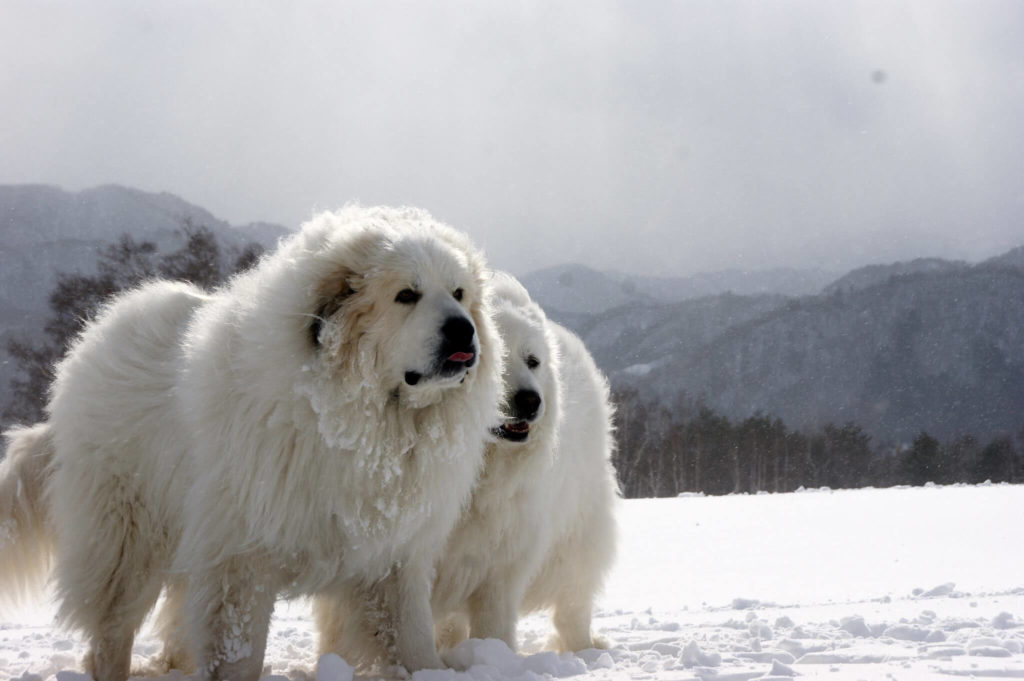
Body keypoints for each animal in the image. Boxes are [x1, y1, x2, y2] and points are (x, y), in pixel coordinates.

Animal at [0, 204, 503, 679]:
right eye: (406, 296)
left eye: (459, 294)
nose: (463, 328)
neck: (363, 421)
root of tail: (91, 340)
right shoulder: (241, 559)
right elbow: (240, 651)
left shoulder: (394, 556)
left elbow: (412, 638)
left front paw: (431, 672)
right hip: (128, 539)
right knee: (112, 630)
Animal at [315, 270, 614, 659]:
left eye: (532, 360)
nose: (530, 400)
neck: (477, 470)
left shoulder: (498, 562)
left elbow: (493, 622)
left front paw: (494, 656)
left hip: (576, 534)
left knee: (573, 603)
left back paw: (583, 649)